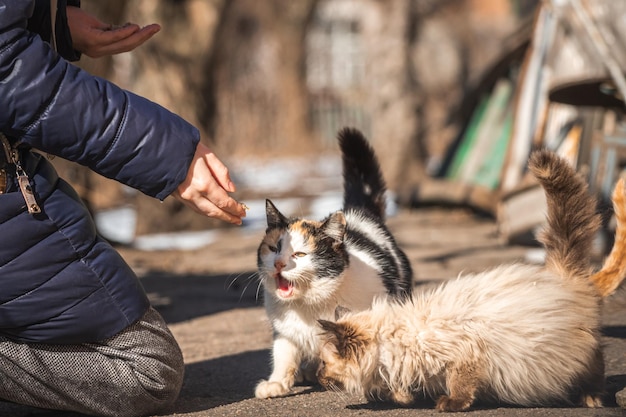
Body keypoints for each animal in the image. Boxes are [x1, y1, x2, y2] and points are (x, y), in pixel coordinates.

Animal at [251, 127, 412, 400]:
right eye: (274, 249)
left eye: (299, 254)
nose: (279, 264)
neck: (310, 305)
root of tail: (357, 212)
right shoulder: (284, 331)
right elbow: (283, 354)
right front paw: (277, 383)